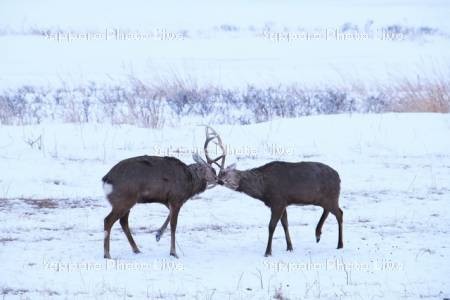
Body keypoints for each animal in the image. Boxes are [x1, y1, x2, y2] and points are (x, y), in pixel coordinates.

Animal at [103, 126, 227, 258]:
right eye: (211, 170)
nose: (219, 180)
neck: (189, 181)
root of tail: (106, 179)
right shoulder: (176, 198)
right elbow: (173, 225)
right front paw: (173, 252)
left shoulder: (169, 200)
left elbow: (169, 218)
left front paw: (158, 235)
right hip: (124, 198)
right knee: (108, 220)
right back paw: (107, 254)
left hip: (128, 201)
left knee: (123, 221)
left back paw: (136, 249)